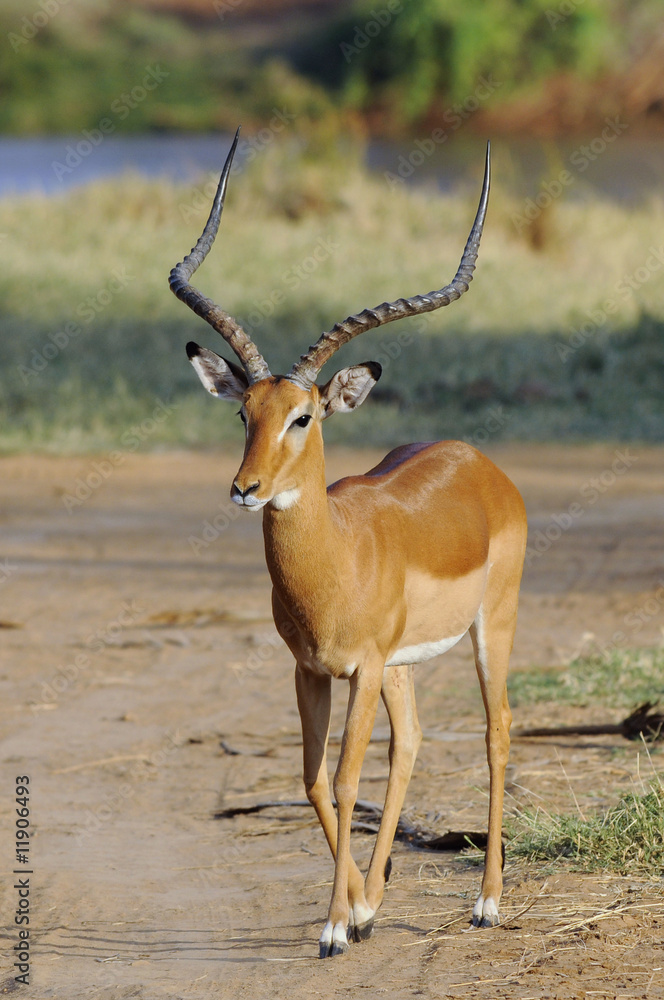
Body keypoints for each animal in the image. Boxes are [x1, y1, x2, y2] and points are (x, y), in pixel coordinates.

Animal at [169, 130, 527, 958]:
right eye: (244, 414)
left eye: (304, 416)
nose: (246, 488)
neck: (334, 558)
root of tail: (477, 461)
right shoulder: (313, 670)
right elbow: (311, 780)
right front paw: (358, 909)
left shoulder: (358, 668)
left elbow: (341, 780)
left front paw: (335, 926)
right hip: (400, 668)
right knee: (415, 742)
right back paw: (380, 899)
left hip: (488, 628)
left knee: (495, 731)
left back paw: (488, 903)